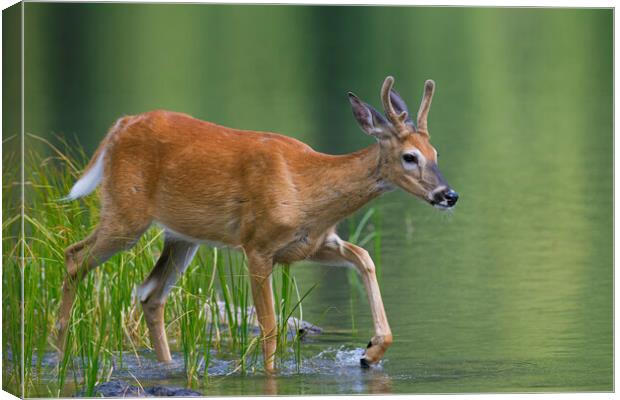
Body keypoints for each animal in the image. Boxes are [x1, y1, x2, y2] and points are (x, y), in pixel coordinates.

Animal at [58, 76, 456, 372]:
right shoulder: (258, 245)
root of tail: (119, 127)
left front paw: (370, 351)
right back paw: (59, 351)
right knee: (75, 256)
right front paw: (272, 373)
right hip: (126, 213)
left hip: (181, 236)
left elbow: (364, 257)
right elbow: (269, 325)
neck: (307, 188)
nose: (448, 194)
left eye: (436, 154)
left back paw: (167, 365)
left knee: (150, 293)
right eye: (410, 157)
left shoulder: (312, 243)